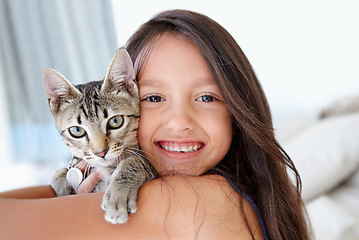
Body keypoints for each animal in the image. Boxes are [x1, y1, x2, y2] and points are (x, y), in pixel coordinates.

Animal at [41, 47, 156, 224]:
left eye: (116, 121)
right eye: (77, 131)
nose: (101, 153)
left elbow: (134, 161)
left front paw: (117, 196)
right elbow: (59, 172)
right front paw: (63, 186)